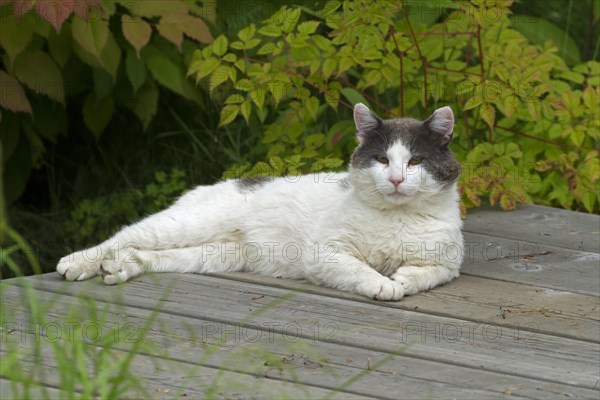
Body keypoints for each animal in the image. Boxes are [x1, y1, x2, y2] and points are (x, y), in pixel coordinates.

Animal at [57, 103, 464, 300]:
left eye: (415, 162)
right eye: (382, 159)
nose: (396, 179)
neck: (397, 217)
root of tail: (204, 188)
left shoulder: (449, 261)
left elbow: (433, 273)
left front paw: (405, 276)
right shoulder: (324, 255)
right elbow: (360, 269)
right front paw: (384, 284)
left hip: (214, 254)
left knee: (148, 255)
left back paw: (118, 269)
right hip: (187, 224)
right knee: (123, 236)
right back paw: (78, 263)